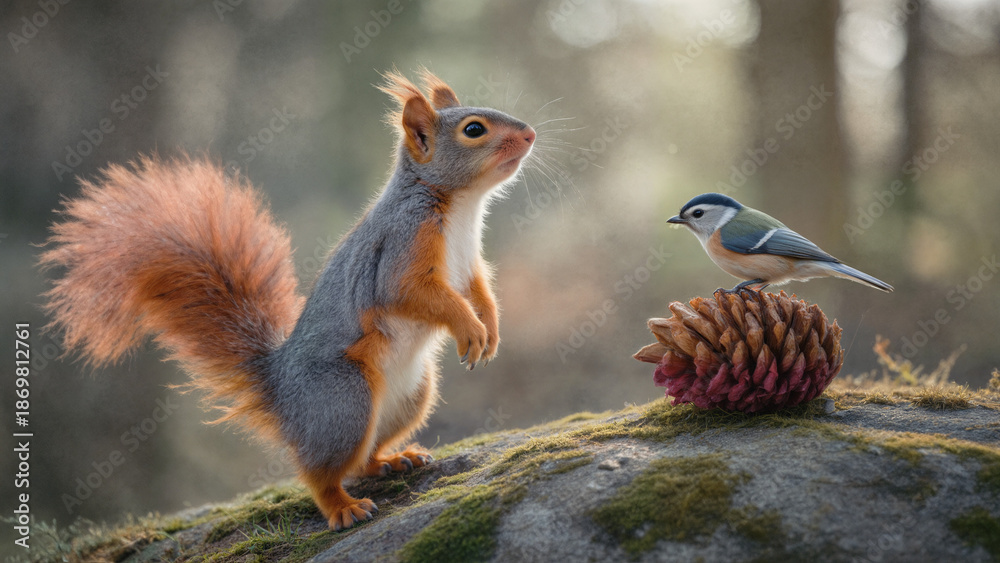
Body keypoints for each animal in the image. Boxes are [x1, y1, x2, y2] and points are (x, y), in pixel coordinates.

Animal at [40, 69, 536, 531]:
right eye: (474, 129)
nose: (531, 133)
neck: (460, 207)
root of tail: (282, 394)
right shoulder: (401, 248)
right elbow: (420, 295)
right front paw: (469, 329)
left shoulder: (468, 264)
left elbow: (479, 293)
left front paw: (490, 329)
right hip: (344, 400)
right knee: (320, 471)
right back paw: (343, 508)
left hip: (413, 395)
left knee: (361, 459)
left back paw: (393, 459)